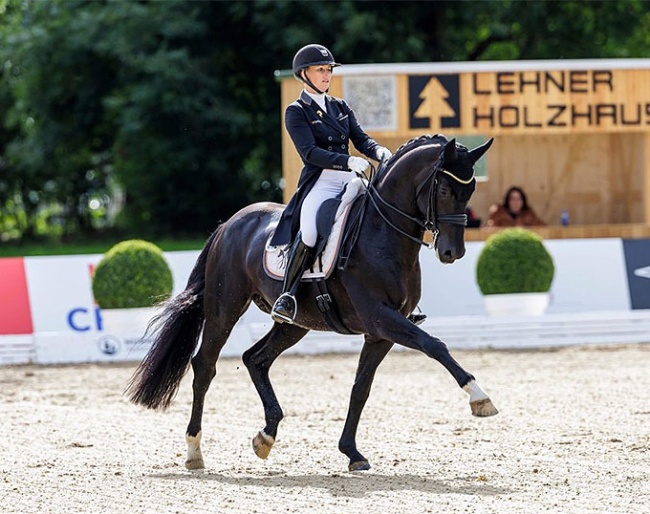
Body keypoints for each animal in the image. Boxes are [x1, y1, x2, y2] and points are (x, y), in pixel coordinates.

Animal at [126, 134, 496, 470]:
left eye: (470, 191)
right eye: (445, 190)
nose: (452, 252)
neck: (382, 233)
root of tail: (229, 224)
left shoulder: (379, 333)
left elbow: (361, 387)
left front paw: (352, 453)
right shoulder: (380, 318)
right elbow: (434, 345)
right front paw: (479, 396)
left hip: (296, 323)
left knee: (255, 359)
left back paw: (266, 435)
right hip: (224, 308)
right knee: (205, 365)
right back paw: (194, 451)